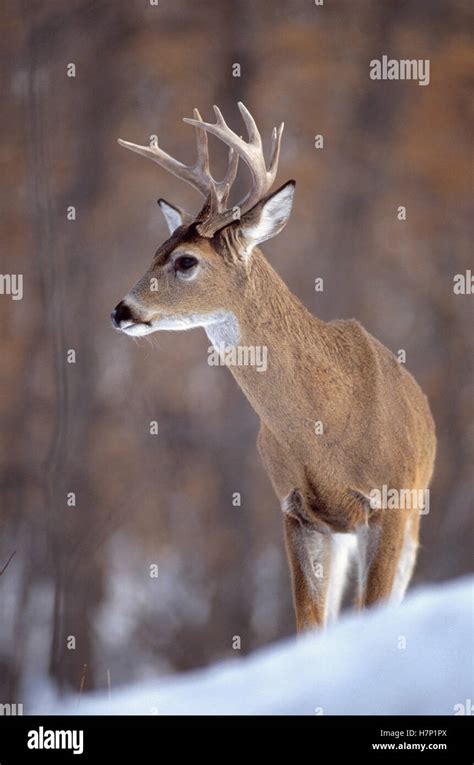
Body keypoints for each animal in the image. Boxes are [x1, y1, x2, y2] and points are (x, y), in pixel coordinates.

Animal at [113, 103, 436, 632]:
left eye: (185, 261)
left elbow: (372, 607)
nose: (120, 311)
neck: (325, 424)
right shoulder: (296, 510)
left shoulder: (390, 502)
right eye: (154, 252)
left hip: (412, 513)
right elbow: (309, 624)